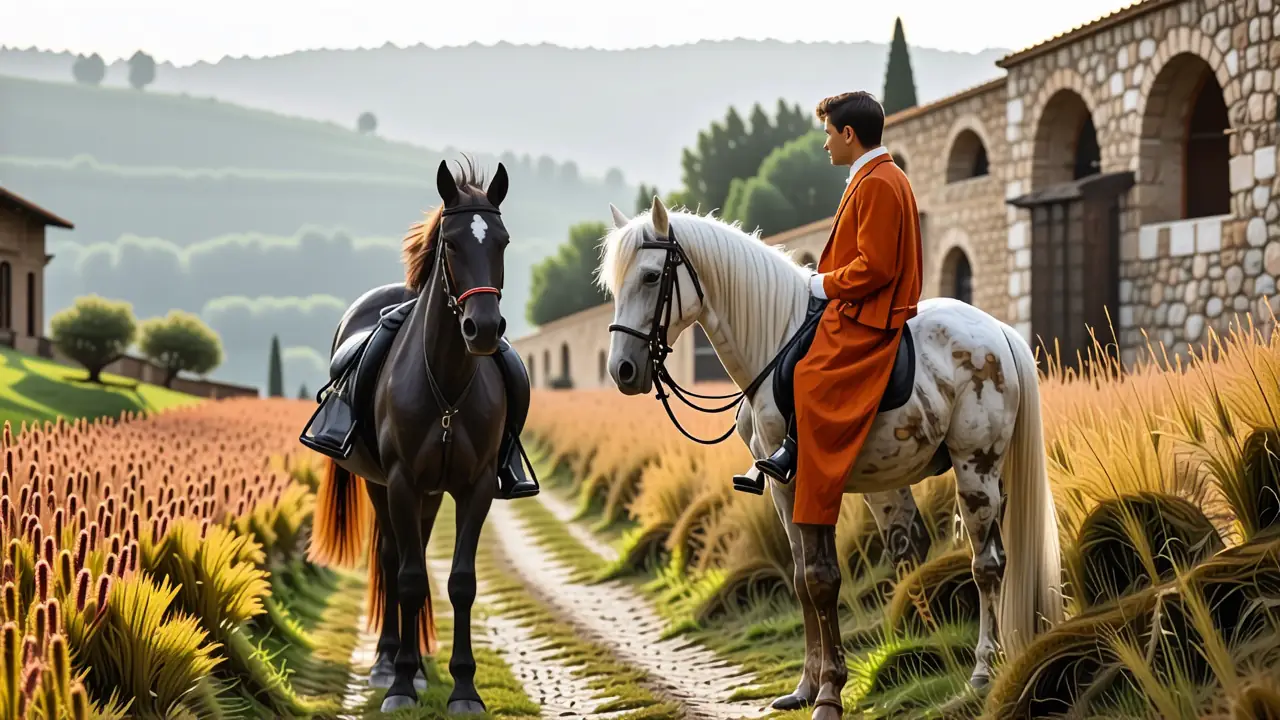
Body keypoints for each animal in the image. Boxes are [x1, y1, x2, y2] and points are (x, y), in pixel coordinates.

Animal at [299, 158, 539, 714]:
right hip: (381, 486)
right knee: (391, 560)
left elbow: (460, 581)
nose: (483, 329)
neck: (447, 383)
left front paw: (463, 689)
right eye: (450, 242)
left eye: (502, 240)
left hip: (429, 495)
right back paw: (389, 663)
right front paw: (402, 685)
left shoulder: (475, 488)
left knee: (417, 555)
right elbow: (407, 579)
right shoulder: (403, 482)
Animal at [598, 196, 1063, 719]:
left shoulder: (816, 479)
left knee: (987, 564)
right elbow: (802, 580)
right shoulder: (783, 487)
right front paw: (805, 687)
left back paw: (982, 671)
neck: (774, 340)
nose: (623, 370)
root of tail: (998, 331)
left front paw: (829, 694)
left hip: (975, 467)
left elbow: (822, 579)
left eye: (651, 277)